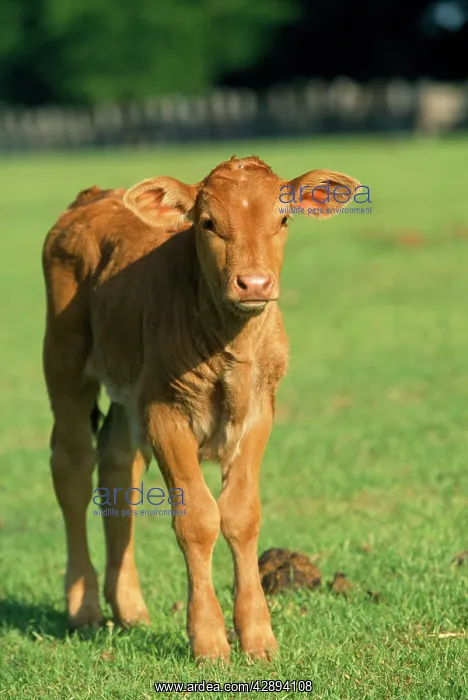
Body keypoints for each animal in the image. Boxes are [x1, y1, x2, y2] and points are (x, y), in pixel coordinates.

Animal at [42, 155, 359, 660]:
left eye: (283, 218)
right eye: (208, 223)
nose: (254, 283)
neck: (229, 343)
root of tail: (93, 197)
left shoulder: (259, 412)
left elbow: (241, 514)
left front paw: (258, 635)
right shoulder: (165, 414)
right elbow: (198, 518)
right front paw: (208, 639)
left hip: (129, 388)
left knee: (118, 469)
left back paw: (129, 608)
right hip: (65, 362)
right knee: (72, 466)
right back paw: (85, 607)